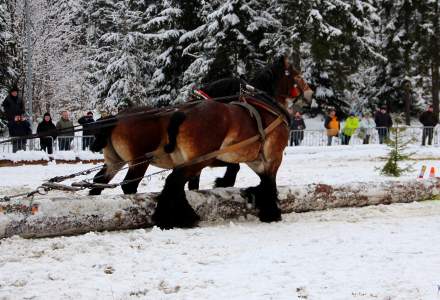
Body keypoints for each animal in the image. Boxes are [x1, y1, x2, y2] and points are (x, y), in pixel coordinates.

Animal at [89, 56, 312, 229]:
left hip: (116, 161)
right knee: (159, 183)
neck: (266, 107)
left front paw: (238, 188)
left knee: (101, 181)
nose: (310, 94)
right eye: (298, 75)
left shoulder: (250, 158)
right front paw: (271, 212)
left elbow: (253, 177)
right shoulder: (272, 156)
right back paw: (180, 217)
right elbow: (268, 182)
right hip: (151, 161)